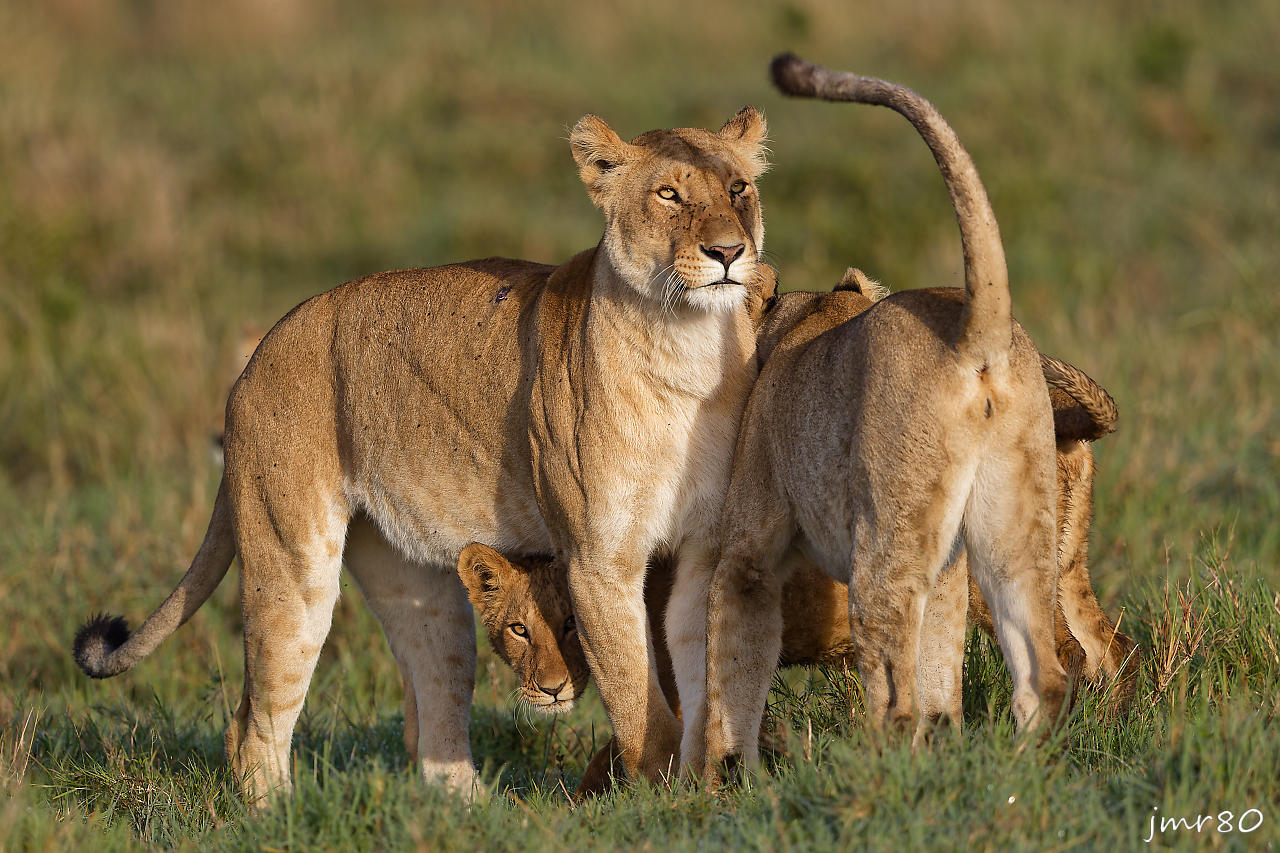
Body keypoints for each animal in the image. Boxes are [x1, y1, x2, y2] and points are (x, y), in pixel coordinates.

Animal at [73, 107, 771, 799]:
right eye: (669, 194)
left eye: (738, 188)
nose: (728, 252)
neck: (686, 347)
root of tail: (257, 356)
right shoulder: (600, 560)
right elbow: (635, 695)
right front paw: (661, 796)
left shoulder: (702, 548)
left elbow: (703, 678)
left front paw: (705, 789)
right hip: (292, 559)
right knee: (255, 717)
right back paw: (277, 814)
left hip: (419, 586)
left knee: (432, 723)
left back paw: (476, 812)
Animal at [700, 55, 1084, 775]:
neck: (809, 318)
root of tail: (975, 332)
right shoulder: (951, 567)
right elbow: (941, 671)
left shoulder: (749, 547)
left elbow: (731, 665)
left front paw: (723, 776)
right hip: (1015, 526)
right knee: (1040, 676)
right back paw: (1011, 775)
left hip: (886, 533)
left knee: (894, 698)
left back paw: (876, 774)